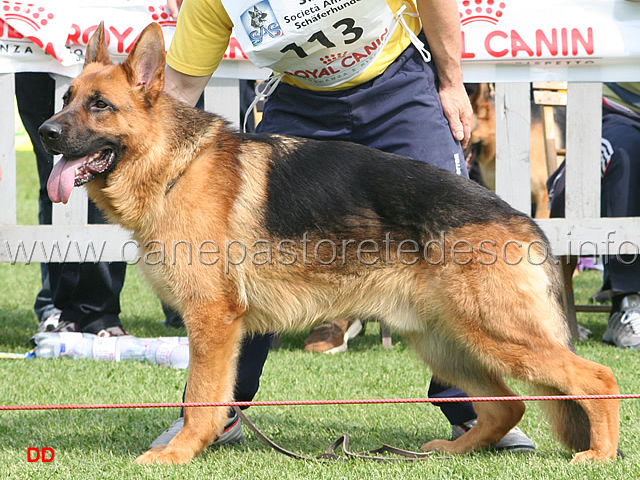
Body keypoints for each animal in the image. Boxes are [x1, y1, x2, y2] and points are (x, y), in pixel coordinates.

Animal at [37, 22, 616, 464]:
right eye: (65, 99)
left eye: (99, 105)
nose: (44, 134)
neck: (174, 166)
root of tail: (523, 220)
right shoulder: (222, 328)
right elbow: (214, 395)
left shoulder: (212, 321)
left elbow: (202, 398)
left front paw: (177, 454)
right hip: (447, 342)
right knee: (507, 406)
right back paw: (450, 452)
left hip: (497, 335)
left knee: (596, 376)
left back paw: (600, 454)